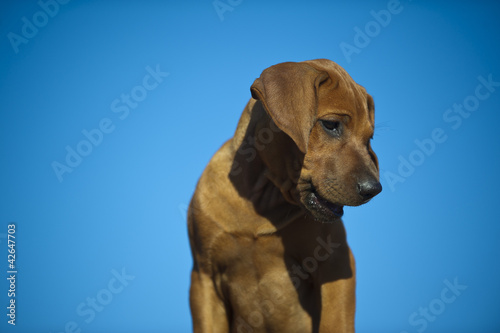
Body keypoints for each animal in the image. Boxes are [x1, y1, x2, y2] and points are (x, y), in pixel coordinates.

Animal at [188, 58, 382, 330]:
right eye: (331, 125)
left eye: (369, 138)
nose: (374, 189)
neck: (260, 202)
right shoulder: (203, 278)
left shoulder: (338, 264)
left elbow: (335, 322)